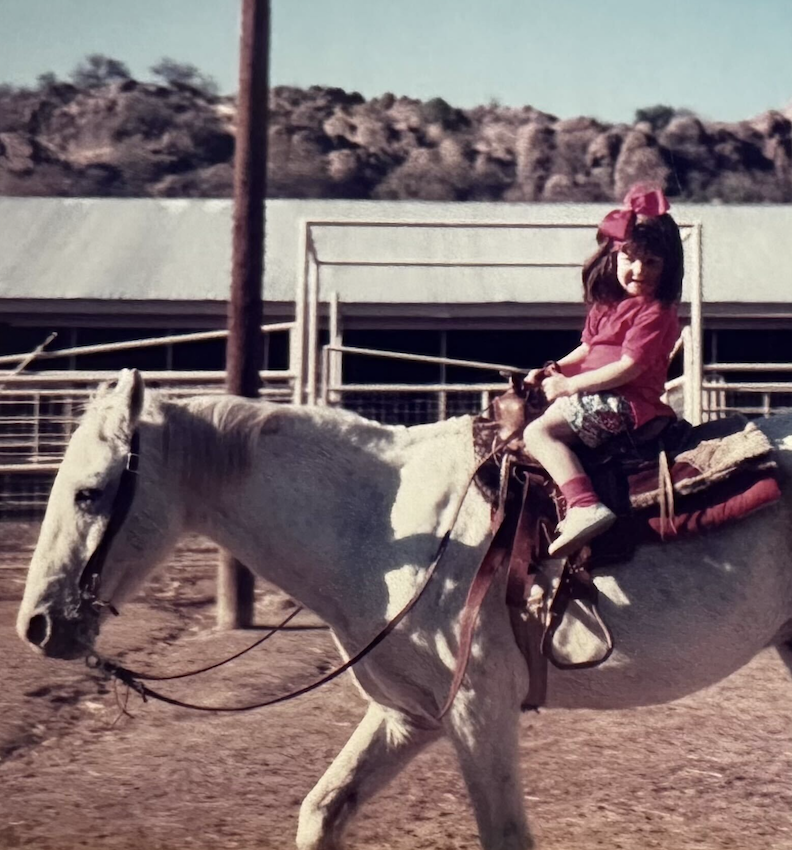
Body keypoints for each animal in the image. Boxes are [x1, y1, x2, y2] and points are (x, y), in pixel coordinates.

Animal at [17, 370, 792, 848]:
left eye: (89, 491)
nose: (37, 625)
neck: (378, 523)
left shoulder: (478, 708)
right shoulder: (408, 713)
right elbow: (323, 810)